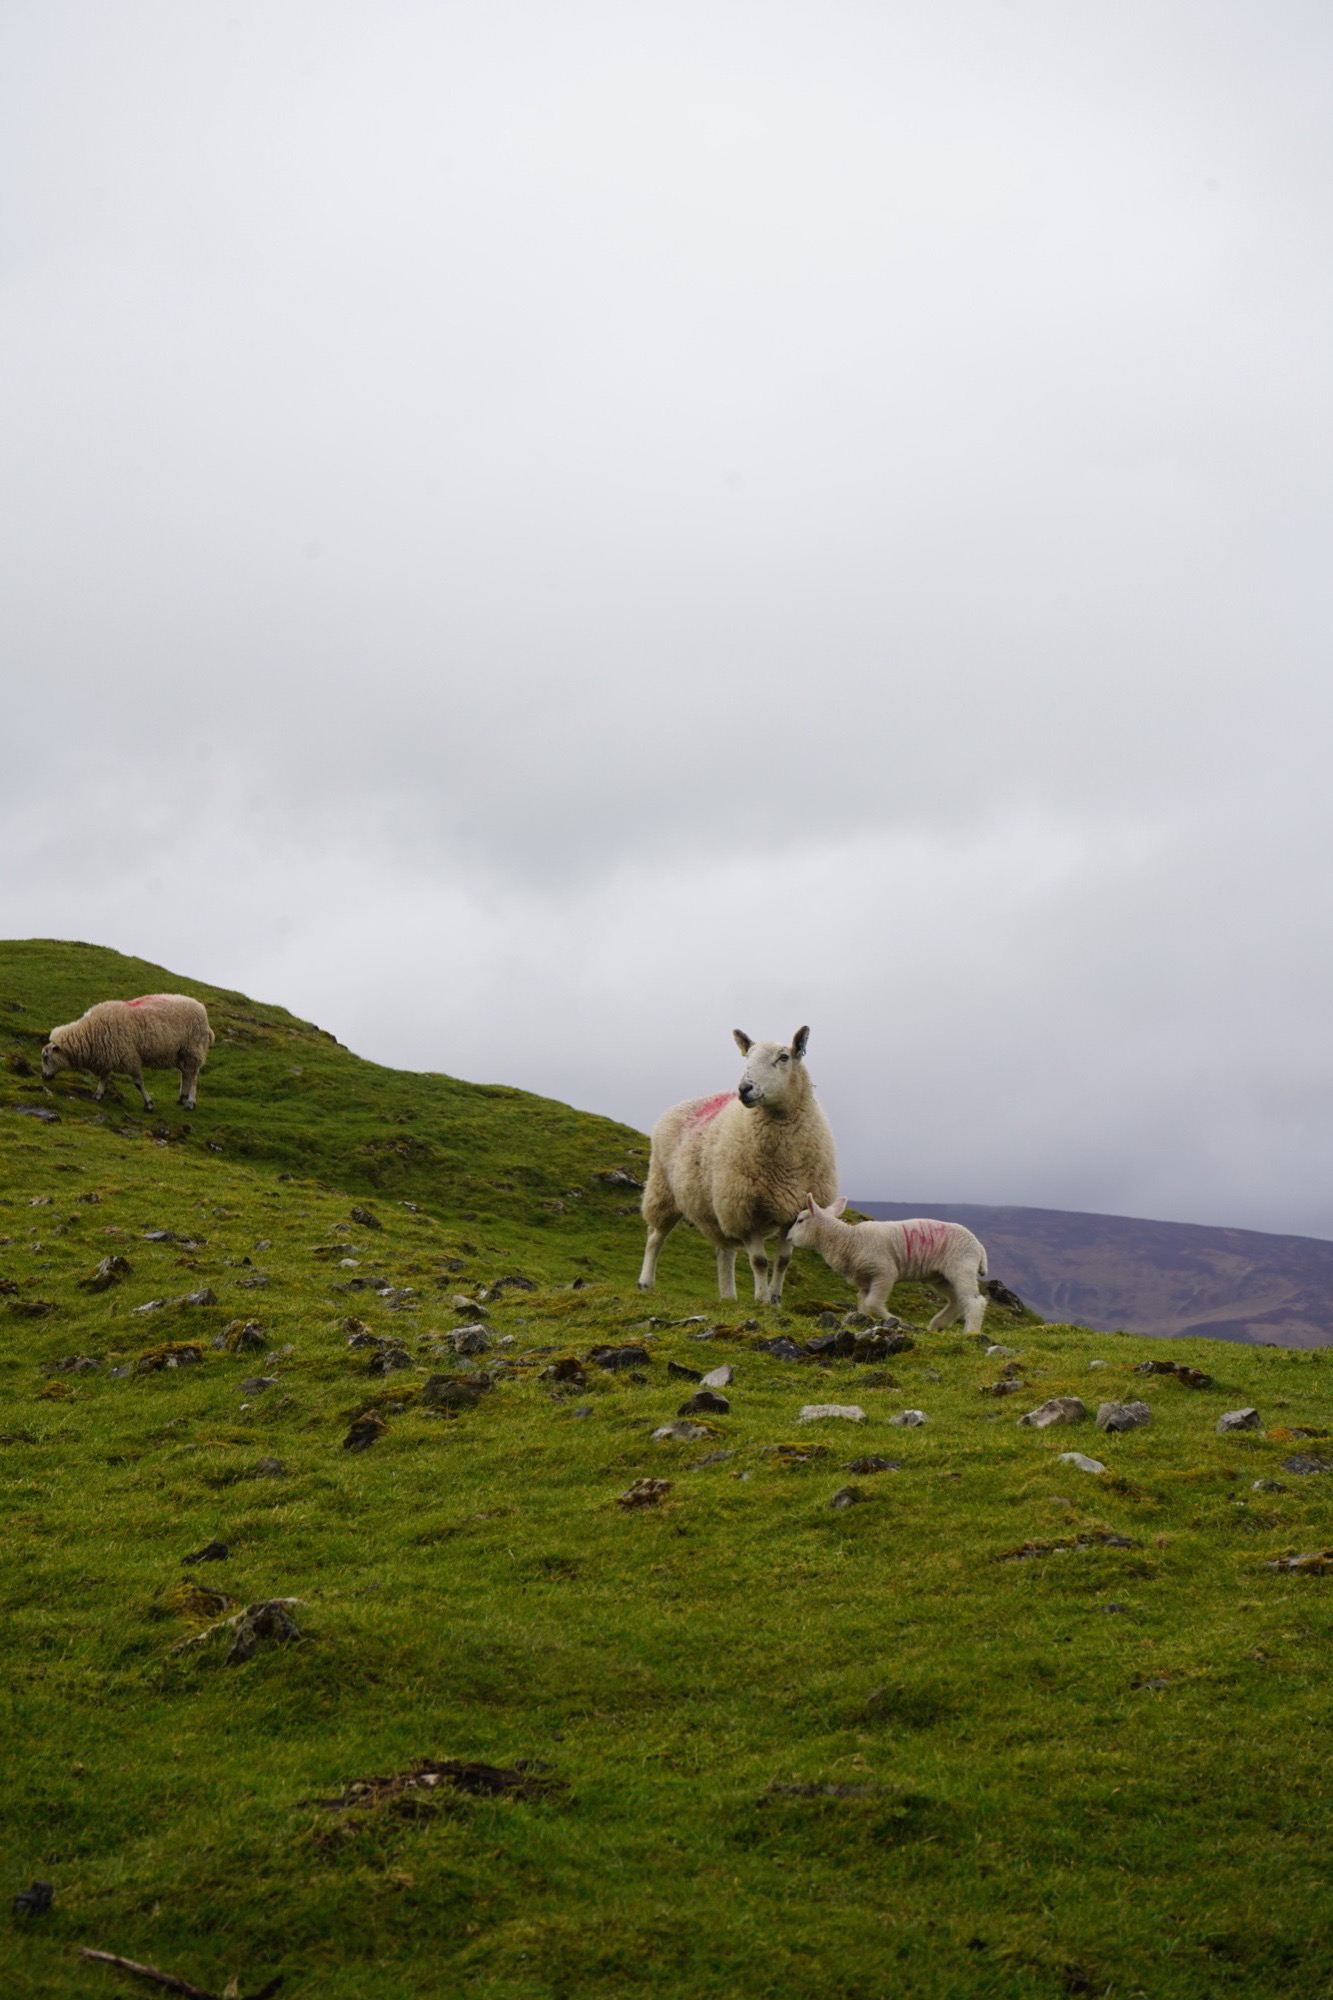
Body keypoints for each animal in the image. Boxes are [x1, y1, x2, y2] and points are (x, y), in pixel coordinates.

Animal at [40, 995, 215, 1111]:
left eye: (46, 1058)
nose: (43, 1076)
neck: (89, 1033)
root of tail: (202, 1009)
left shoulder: (129, 1057)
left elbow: (138, 1083)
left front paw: (149, 1104)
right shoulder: (107, 1055)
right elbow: (104, 1077)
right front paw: (98, 1094)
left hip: (193, 1049)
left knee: (193, 1077)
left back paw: (190, 1102)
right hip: (180, 1053)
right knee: (186, 1074)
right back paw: (182, 1098)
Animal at [638, 1028, 838, 1305]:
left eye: (784, 1057)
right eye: (747, 1058)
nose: (744, 1088)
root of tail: (677, 1106)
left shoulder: (793, 1210)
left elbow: (783, 1260)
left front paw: (776, 1300)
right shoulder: (745, 1209)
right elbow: (760, 1261)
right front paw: (762, 1300)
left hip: (716, 1206)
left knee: (725, 1251)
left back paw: (728, 1297)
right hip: (663, 1190)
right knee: (654, 1237)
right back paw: (646, 1282)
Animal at [787, 1196, 989, 1333]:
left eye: (800, 1220)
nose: (788, 1238)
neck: (848, 1240)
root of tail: (979, 1246)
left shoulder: (884, 1272)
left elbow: (873, 1303)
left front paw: (894, 1319)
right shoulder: (866, 1281)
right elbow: (864, 1303)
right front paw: (863, 1321)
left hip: (961, 1267)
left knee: (974, 1301)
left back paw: (970, 1332)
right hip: (940, 1277)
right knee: (957, 1300)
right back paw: (937, 1324)